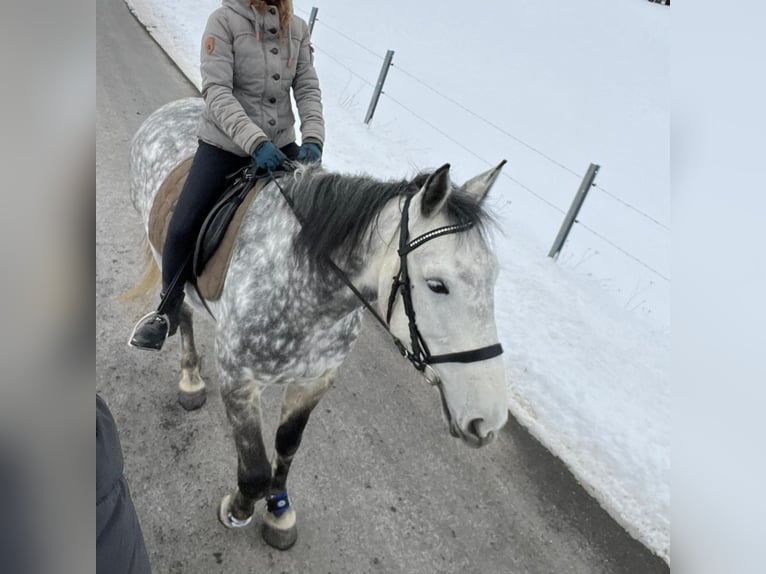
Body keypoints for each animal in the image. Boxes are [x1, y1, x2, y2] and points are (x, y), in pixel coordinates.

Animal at [127, 98, 510, 548]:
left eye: (494, 277)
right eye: (437, 285)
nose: (489, 421)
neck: (303, 284)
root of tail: (179, 105)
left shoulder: (315, 380)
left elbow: (287, 446)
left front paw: (279, 511)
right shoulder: (238, 381)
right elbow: (254, 468)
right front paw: (238, 509)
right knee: (182, 311)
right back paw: (189, 379)